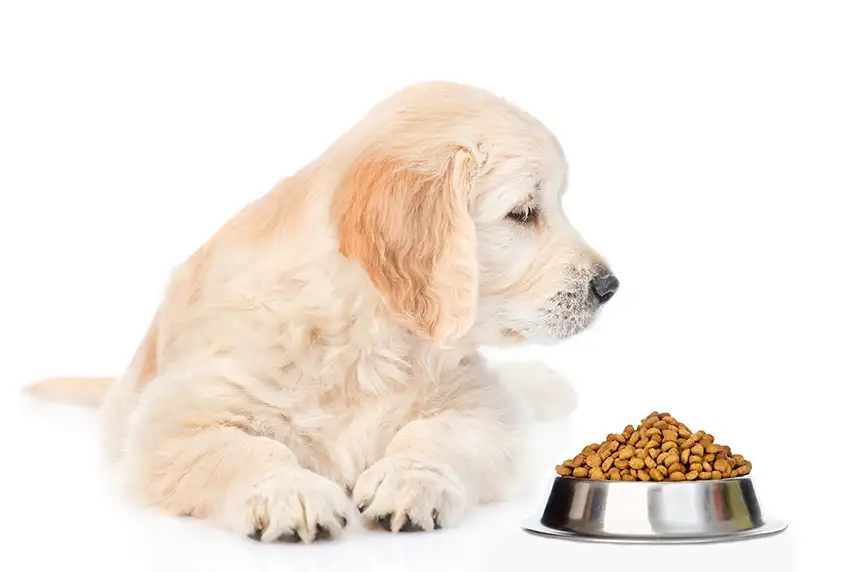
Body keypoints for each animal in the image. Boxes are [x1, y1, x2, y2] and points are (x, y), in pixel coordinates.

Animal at [24, 80, 616, 540]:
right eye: (523, 212)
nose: (610, 286)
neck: (366, 336)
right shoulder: (173, 422)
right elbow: (244, 450)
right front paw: (289, 491)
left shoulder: (480, 402)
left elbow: (441, 433)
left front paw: (410, 478)